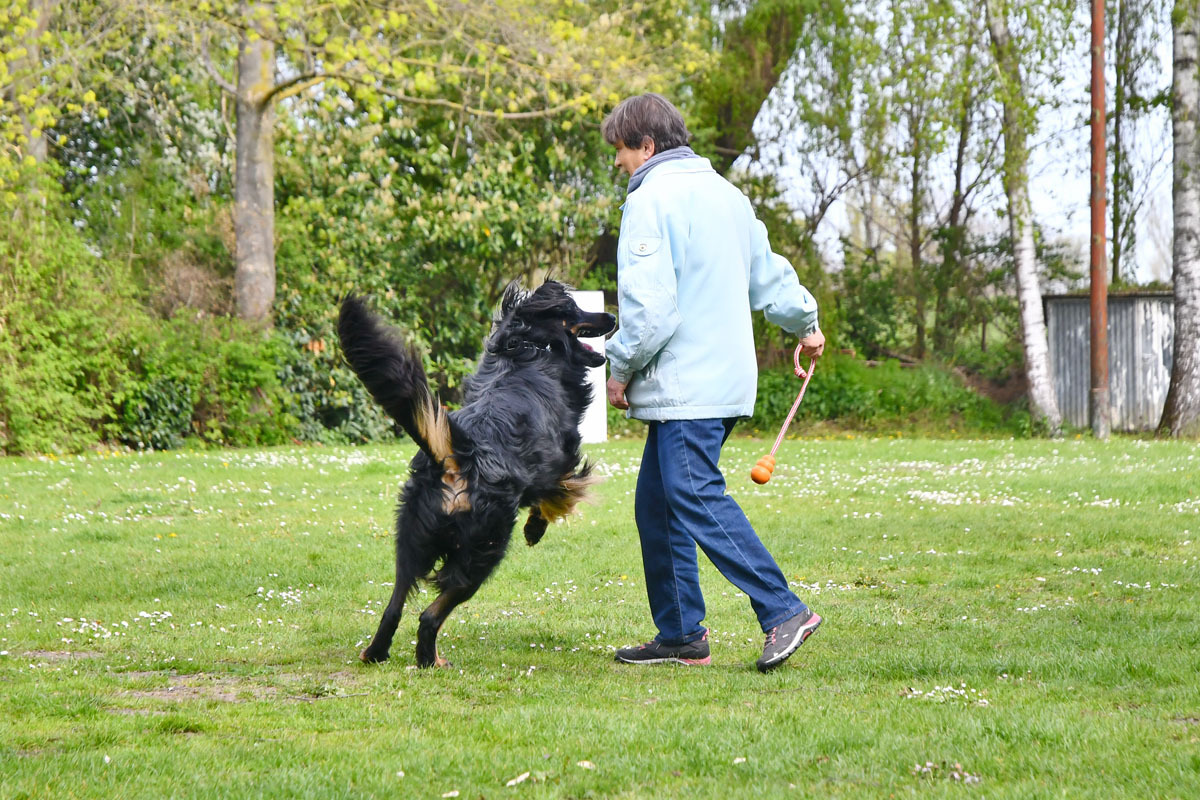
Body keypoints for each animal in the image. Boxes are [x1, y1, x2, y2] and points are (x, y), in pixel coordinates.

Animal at [340, 278, 614, 666]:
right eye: (574, 310)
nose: (611, 316)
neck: (527, 346)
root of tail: (454, 459)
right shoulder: (557, 462)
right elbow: (556, 493)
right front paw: (535, 529)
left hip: (411, 540)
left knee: (393, 607)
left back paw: (376, 653)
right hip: (486, 547)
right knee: (429, 615)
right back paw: (431, 660)